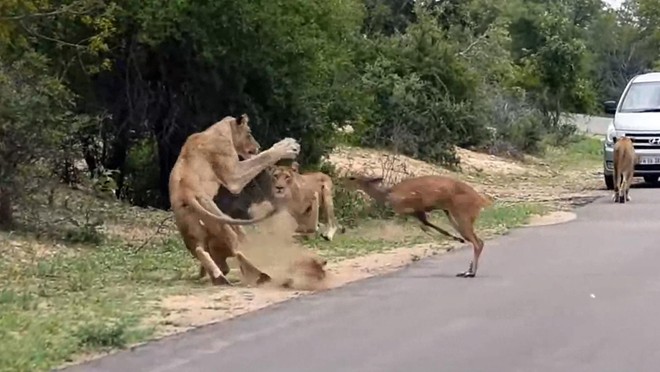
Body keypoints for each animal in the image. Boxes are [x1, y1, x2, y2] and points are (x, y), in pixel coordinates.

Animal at [169, 115, 300, 286]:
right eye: (249, 133)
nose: (257, 146)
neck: (221, 130)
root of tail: (187, 194)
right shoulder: (234, 176)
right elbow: (263, 157)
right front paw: (289, 146)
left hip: (196, 230)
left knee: (201, 250)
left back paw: (219, 276)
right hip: (221, 222)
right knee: (235, 248)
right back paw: (260, 275)